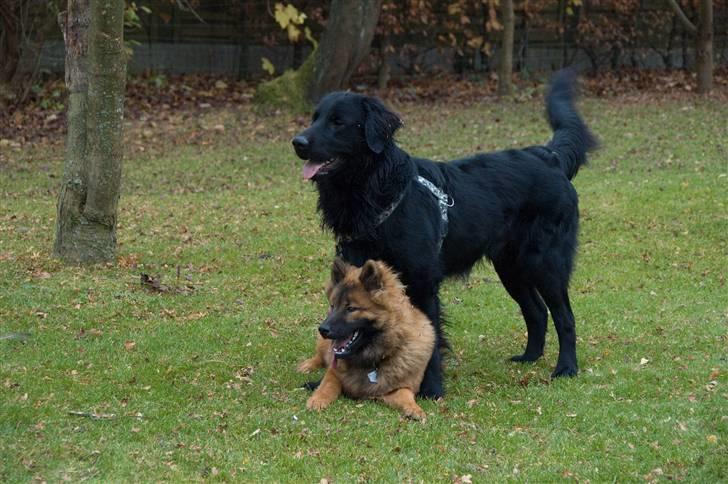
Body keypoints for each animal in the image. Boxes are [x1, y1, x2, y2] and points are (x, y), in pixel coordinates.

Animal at [292, 71, 596, 398]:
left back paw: (566, 368)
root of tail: (549, 156)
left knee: (565, 317)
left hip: (546, 263)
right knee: (537, 311)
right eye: (315, 118)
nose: (297, 142)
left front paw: (432, 388)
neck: (379, 191)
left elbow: (431, 337)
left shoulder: (423, 282)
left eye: (338, 122)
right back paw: (529, 357)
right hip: (511, 267)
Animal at [298, 258, 436, 420]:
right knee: (319, 356)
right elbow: (327, 384)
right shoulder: (334, 372)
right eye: (333, 306)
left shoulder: (397, 388)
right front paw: (317, 399)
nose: (322, 330)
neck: (374, 357)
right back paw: (307, 366)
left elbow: (405, 394)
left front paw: (414, 409)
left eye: (351, 309)